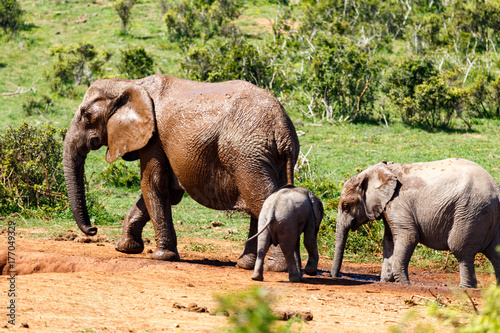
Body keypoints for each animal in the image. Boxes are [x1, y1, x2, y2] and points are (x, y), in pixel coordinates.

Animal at [61, 74, 300, 268]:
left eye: (86, 115)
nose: (93, 230)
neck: (132, 84)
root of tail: (283, 131)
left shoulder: (154, 138)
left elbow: (152, 184)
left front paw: (161, 257)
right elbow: (163, 190)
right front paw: (125, 248)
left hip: (246, 155)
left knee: (261, 201)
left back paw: (276, 268)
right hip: (264, 159)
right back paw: (247, 265)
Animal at [332, 159, 500, 288]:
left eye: (346, 206)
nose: (335, 277)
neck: (384, 169)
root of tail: (496, 190)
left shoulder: (398, 203)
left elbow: (408, 237)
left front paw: (404, 284)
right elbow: (388, 241)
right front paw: (386, 282)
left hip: (470, 212)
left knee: (461, 249)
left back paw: (465, 288)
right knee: (495, 253)